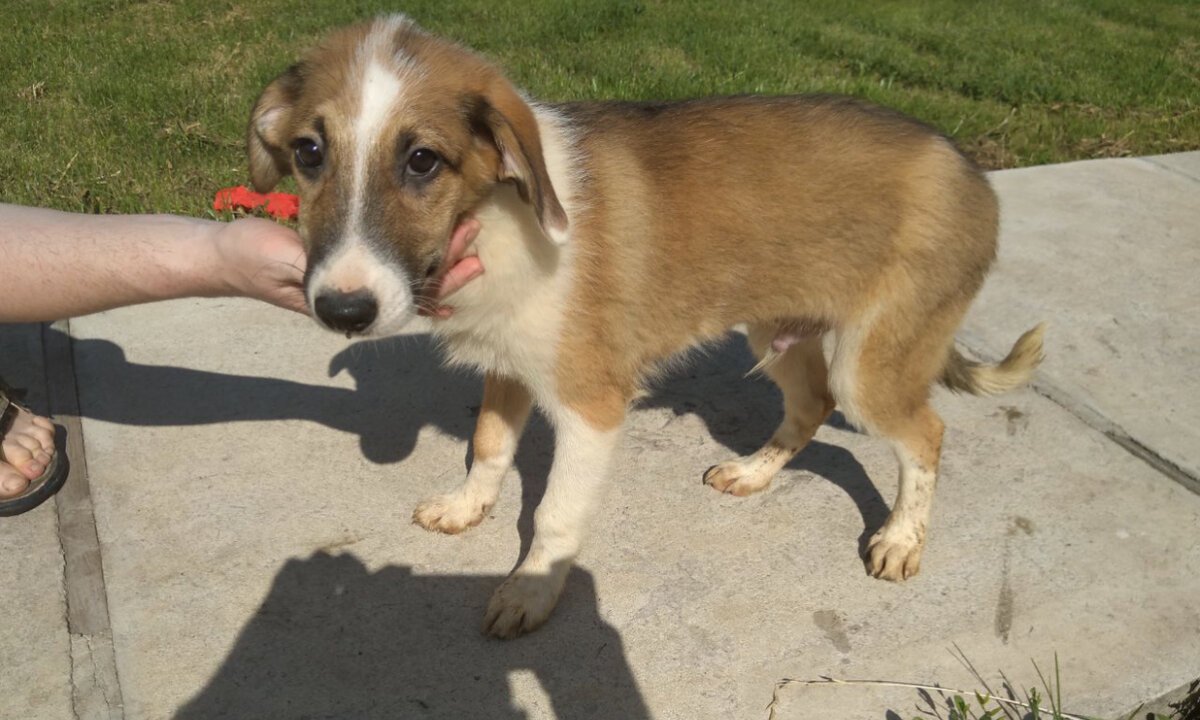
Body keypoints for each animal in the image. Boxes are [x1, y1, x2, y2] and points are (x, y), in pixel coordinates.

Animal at [247, 15, 1045, 638]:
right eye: (309, 153)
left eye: (422, 160)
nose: (341, 310)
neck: (500, 218)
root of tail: (973, 171)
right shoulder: (508, 365)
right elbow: (489, 448)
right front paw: (468, 507)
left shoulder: (591, 405)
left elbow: (556, 515)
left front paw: (532, 589)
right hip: (775, 332)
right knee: (811, 404)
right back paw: (754, 473)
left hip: (871, 362)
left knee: (924, 433)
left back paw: (902, 539)